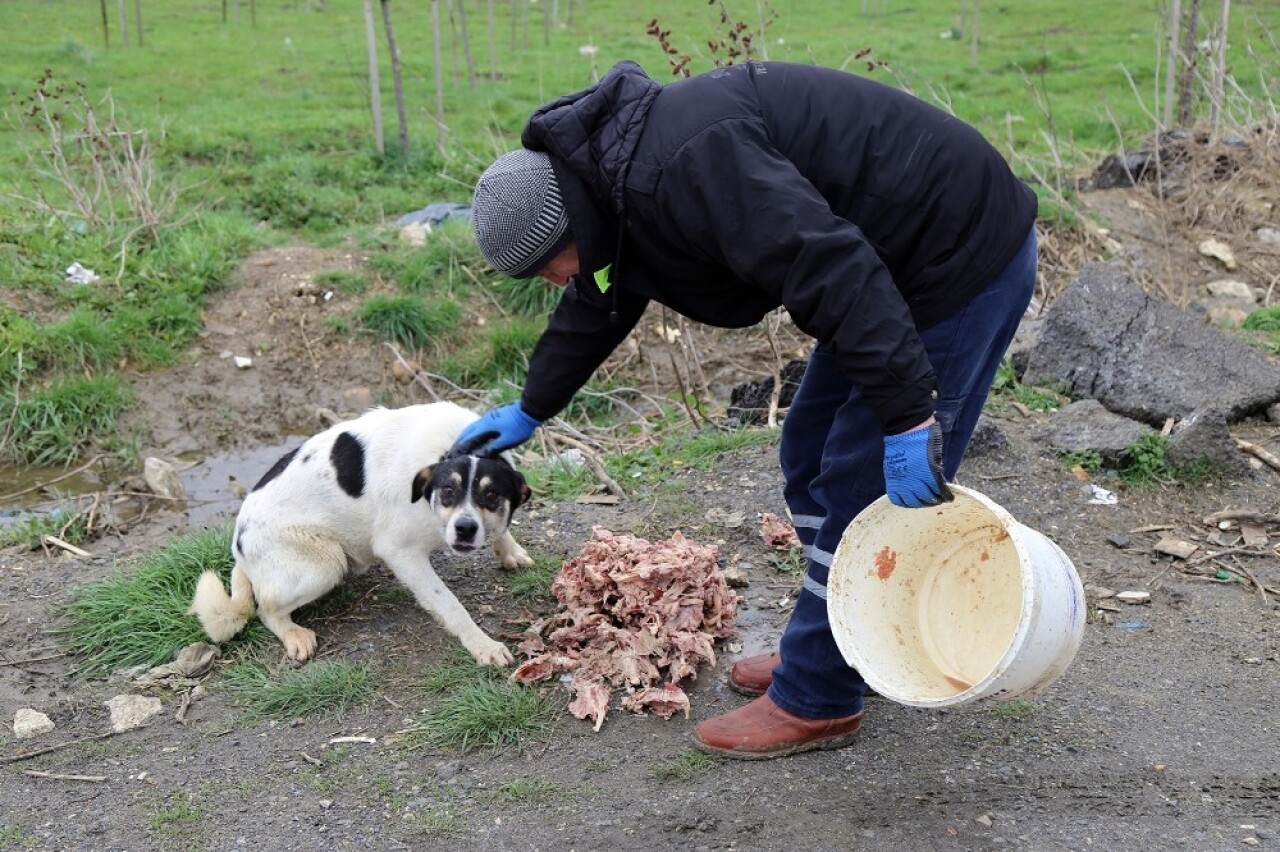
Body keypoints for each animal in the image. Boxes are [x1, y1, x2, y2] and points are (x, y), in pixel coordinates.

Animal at [186, 404, 532, 665]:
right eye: (448, 491)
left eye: (491, 495)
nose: (465, 528)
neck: (454, 449)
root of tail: (239, 548)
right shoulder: (400, 552)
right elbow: (449, 604)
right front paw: (483, 645)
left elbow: (501, 531)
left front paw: (510, 550)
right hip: (324, 563)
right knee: (265, 609)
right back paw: (293, 633)